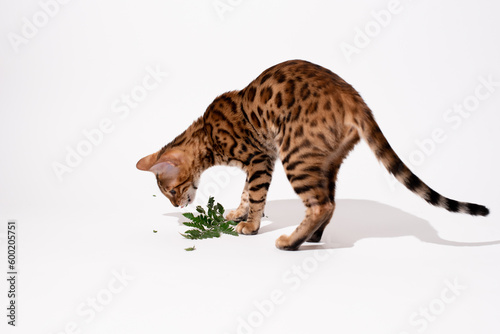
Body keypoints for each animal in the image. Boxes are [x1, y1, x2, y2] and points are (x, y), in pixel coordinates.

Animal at [136, 58, 488, 249]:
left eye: (171, 191)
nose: (177, 205)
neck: (207, 133)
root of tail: (352, 95)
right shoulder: (262, 159)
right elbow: (247, 193)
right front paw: (239, 212)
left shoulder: (260, 158)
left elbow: (255, 193)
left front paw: (250, 225)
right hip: (325, 160)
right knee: (329, 202)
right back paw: (312, 237)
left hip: (296, 156)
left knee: (321, 204)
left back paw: (290, 242)